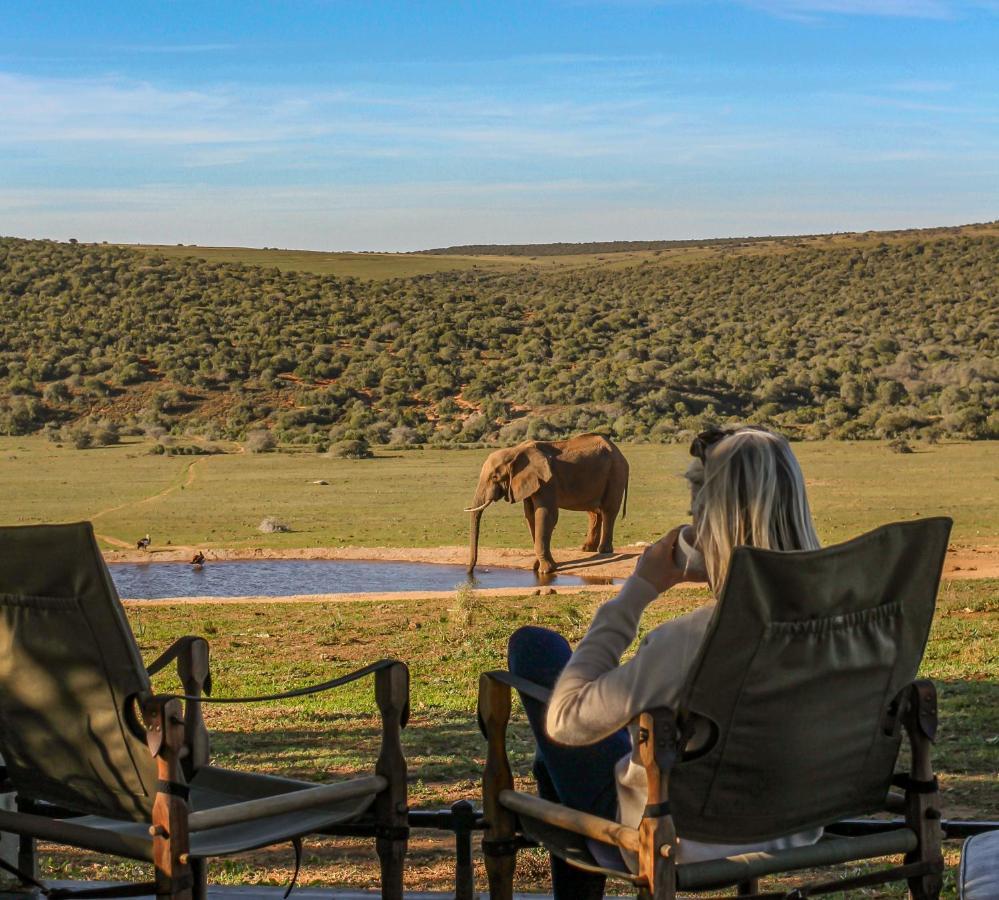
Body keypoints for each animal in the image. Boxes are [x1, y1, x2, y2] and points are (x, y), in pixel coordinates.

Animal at [464, 430, 628, 572]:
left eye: (495, 477)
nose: (470, 572)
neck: (515, 451)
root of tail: (619, 452)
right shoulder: (531, 483)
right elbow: (530, 516)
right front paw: (536, 567)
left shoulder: (547, 481)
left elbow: (546, 514)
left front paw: (545, 570)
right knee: (593, 512)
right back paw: (587, 549)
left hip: (615, 473)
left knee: (608, 510)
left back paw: (604, 551)